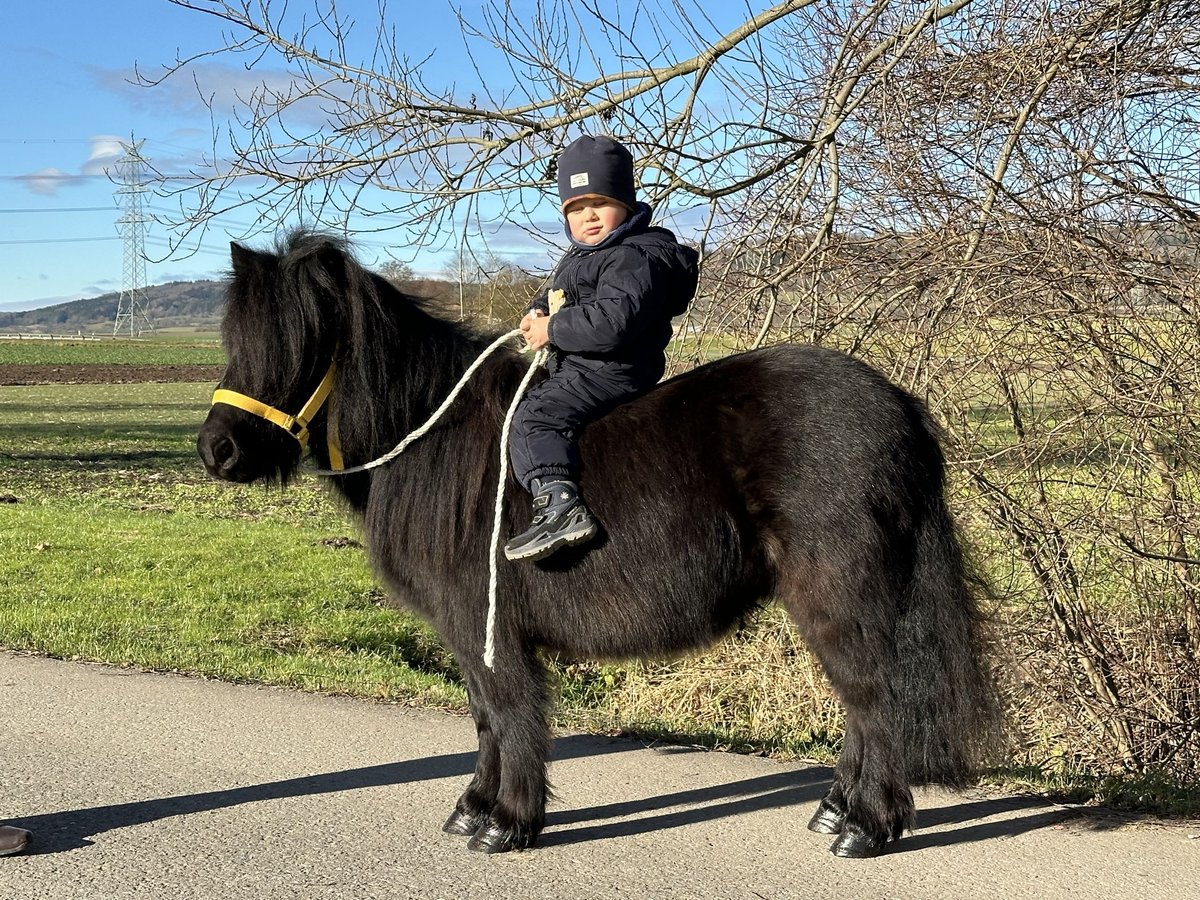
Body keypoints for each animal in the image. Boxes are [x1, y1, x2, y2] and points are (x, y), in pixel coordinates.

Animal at [196, 230, 998, 859]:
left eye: (302, 344)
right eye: (235, 342)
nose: (217, 451)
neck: (432, 441)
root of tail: (896, 405)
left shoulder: (486, 626)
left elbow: (510, 713)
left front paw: (508, 822)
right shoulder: (469, 631)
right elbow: (484, 717)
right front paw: (474, 810)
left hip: (841, 591)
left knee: (875, 697)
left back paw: (865, 825)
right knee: (865, 701)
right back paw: (838, 810)